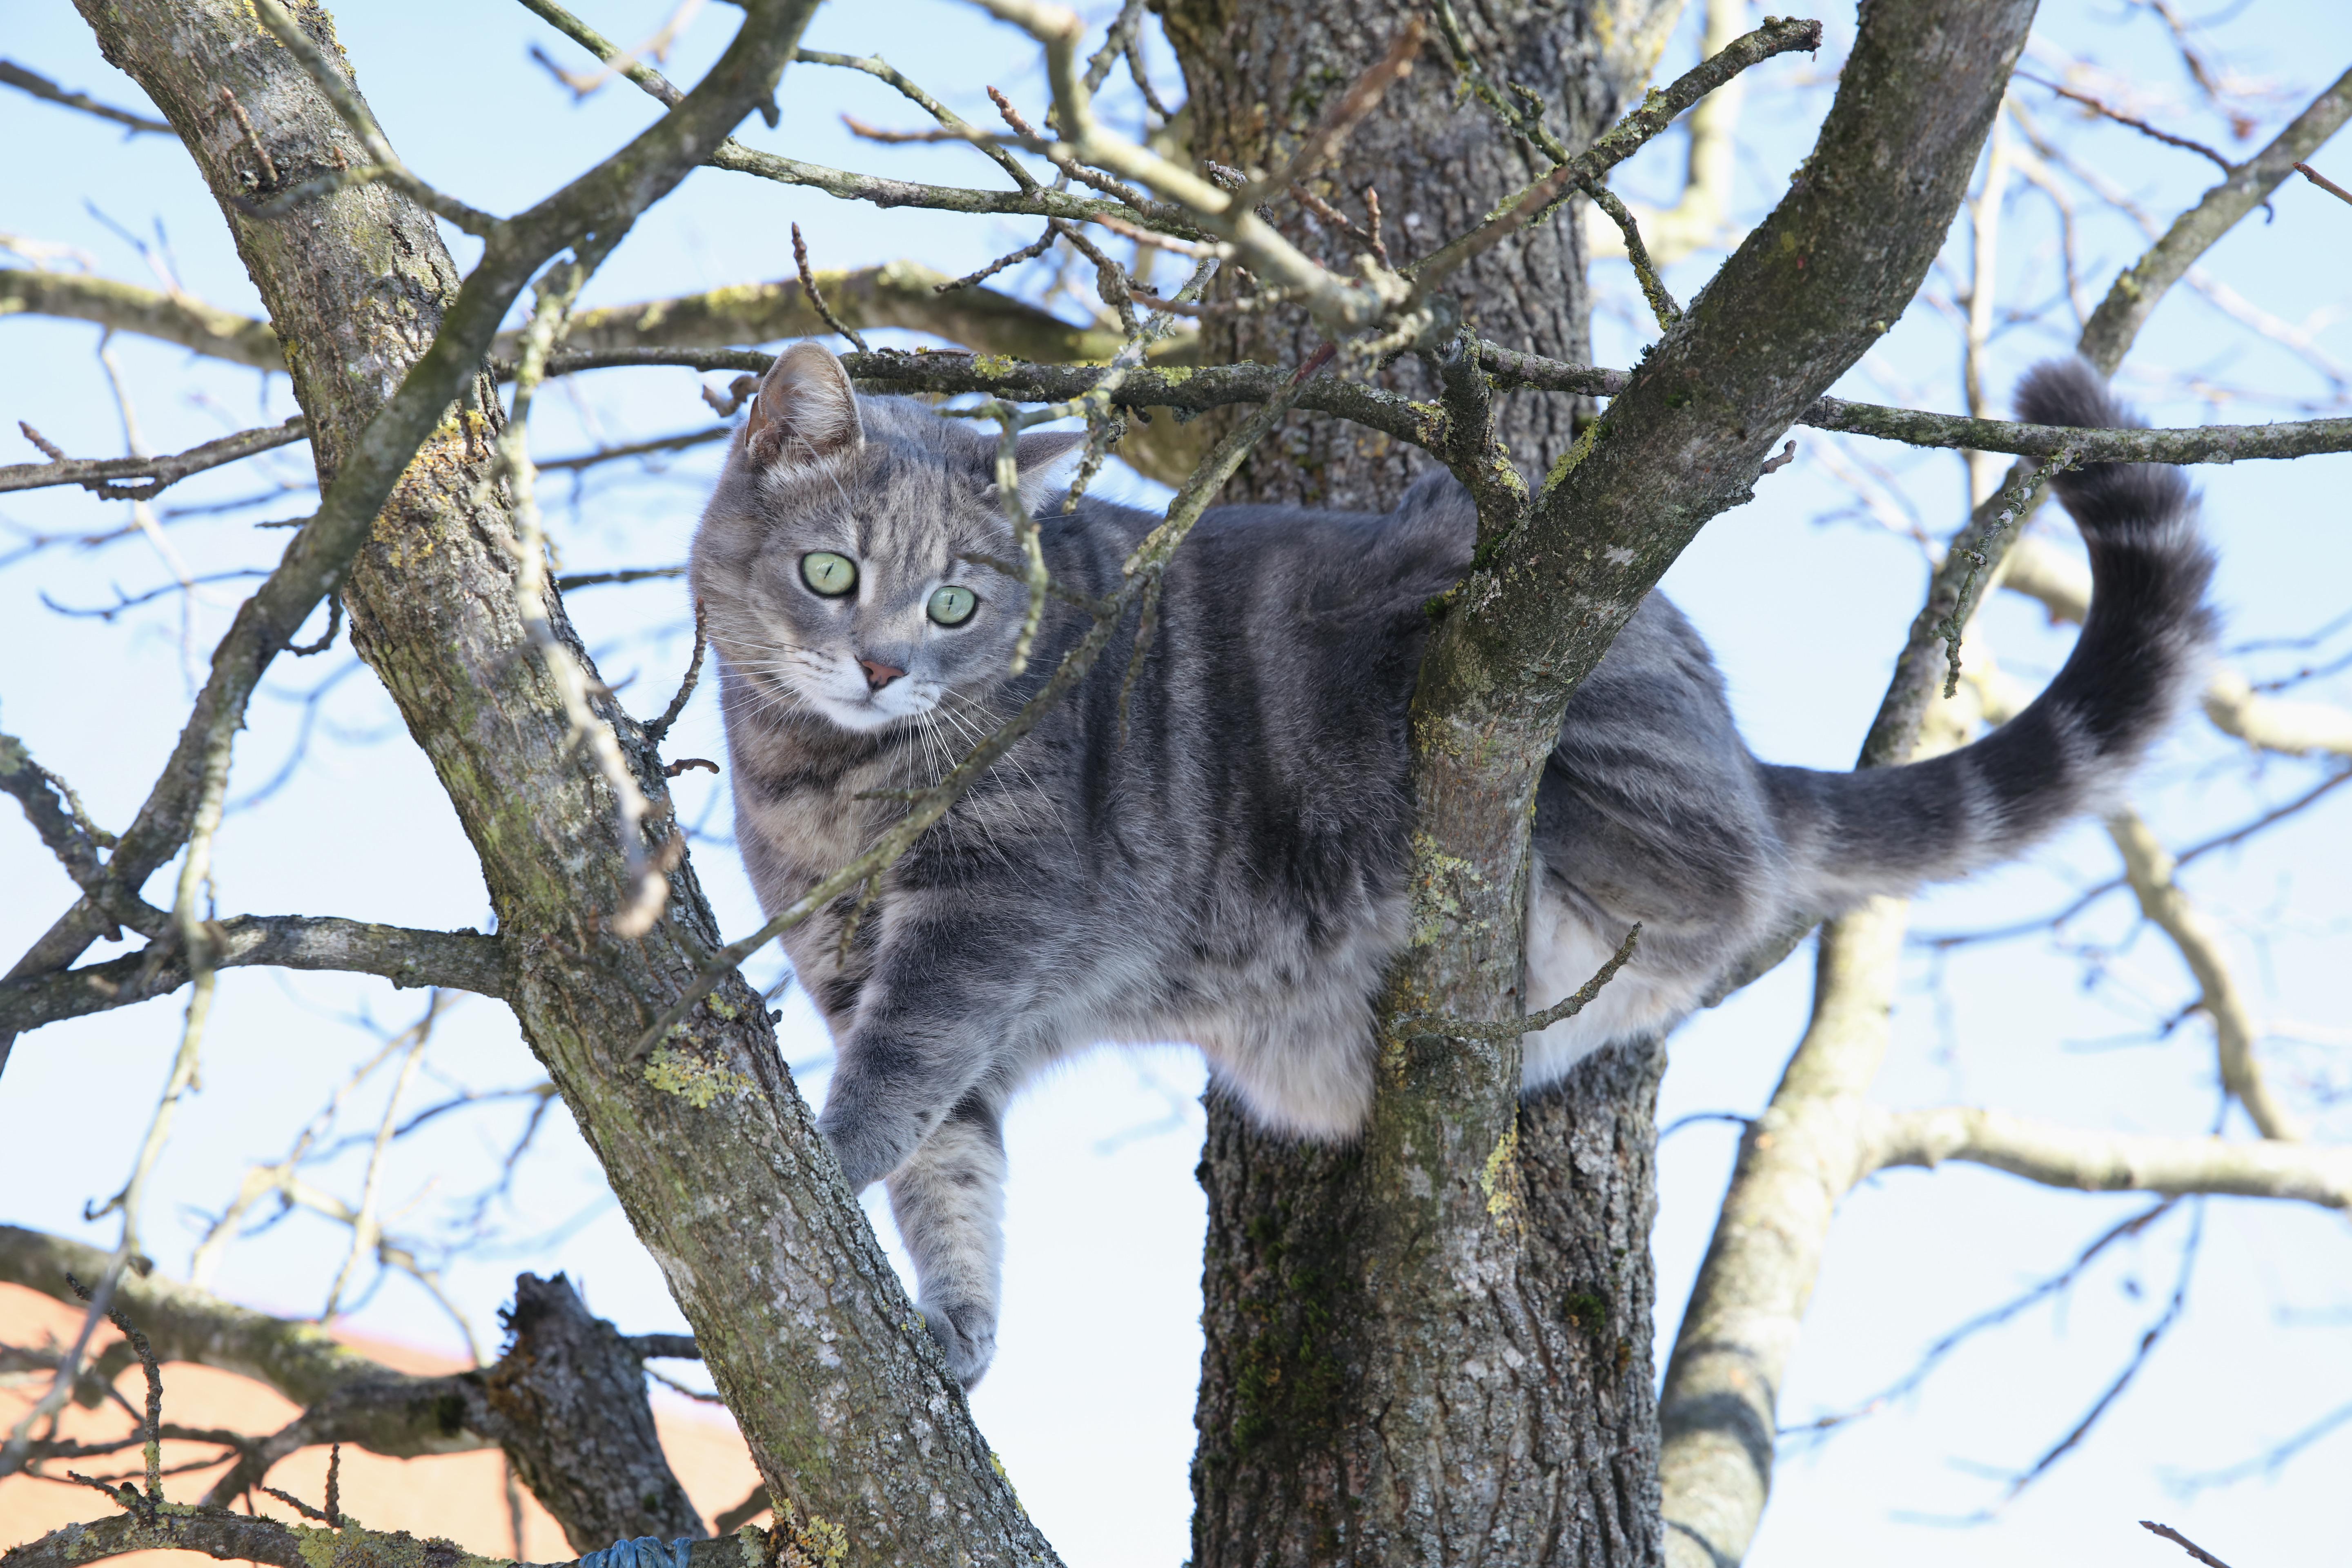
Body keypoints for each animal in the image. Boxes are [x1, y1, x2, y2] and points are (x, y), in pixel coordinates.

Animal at [686, 343, 2211, 1382]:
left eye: (956, 602)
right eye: (832, 574)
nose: (884, 667)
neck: (820, 781)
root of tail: (1736, 745)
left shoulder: (986, 912)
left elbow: (901, 1082)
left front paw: (827, 1152)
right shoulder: (867, 968)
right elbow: (955, 1167)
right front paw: (957, 1319)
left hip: (1534, 658)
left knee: (1711, 881)